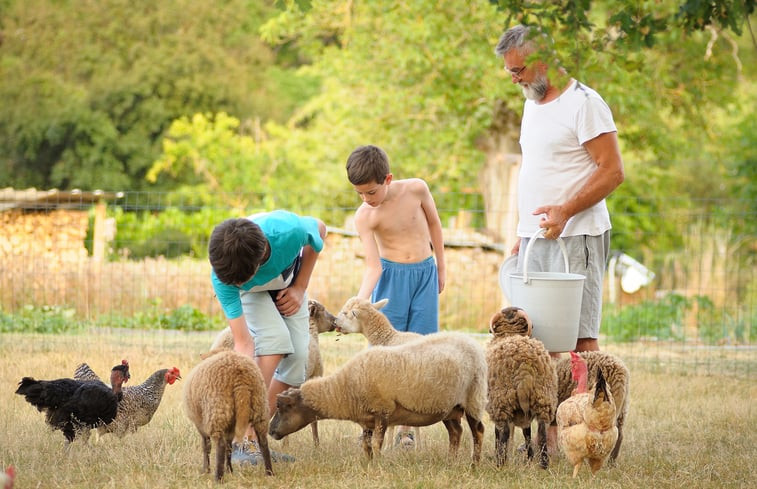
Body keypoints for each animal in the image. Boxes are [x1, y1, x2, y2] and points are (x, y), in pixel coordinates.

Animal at [182, 346, 274, 480]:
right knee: (263, 442)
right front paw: (229, 470)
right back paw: (269, 473)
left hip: (217, 412)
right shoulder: (230, 427)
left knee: (220, 445)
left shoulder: (200, 424)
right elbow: (229, 447)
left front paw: (205, 470)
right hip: (260, 409)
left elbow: (206, 446)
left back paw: (218, 478)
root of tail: (241, 379)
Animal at [268, 330, 488, 464]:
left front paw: (378, 465)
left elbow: (376, 443)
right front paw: (369, 464)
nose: (270, 431)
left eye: (282, 407)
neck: (343, 388)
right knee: (456, 433)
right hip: (450, 407)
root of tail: (471, 342)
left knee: (478, 432)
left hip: (473, 398)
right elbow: (366, 445)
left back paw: (473, 465)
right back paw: (451, 462)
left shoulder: (382, 411)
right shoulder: (367, 419)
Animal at [484, 304, 556, 468]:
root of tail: (525, 367)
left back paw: (500, 463)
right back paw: (543, 465)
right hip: (543, 398)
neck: (510, 333)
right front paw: (529, 458)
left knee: (503, 432)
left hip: (501, 401)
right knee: (542, 432)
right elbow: (527, 432)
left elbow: (499, 434)